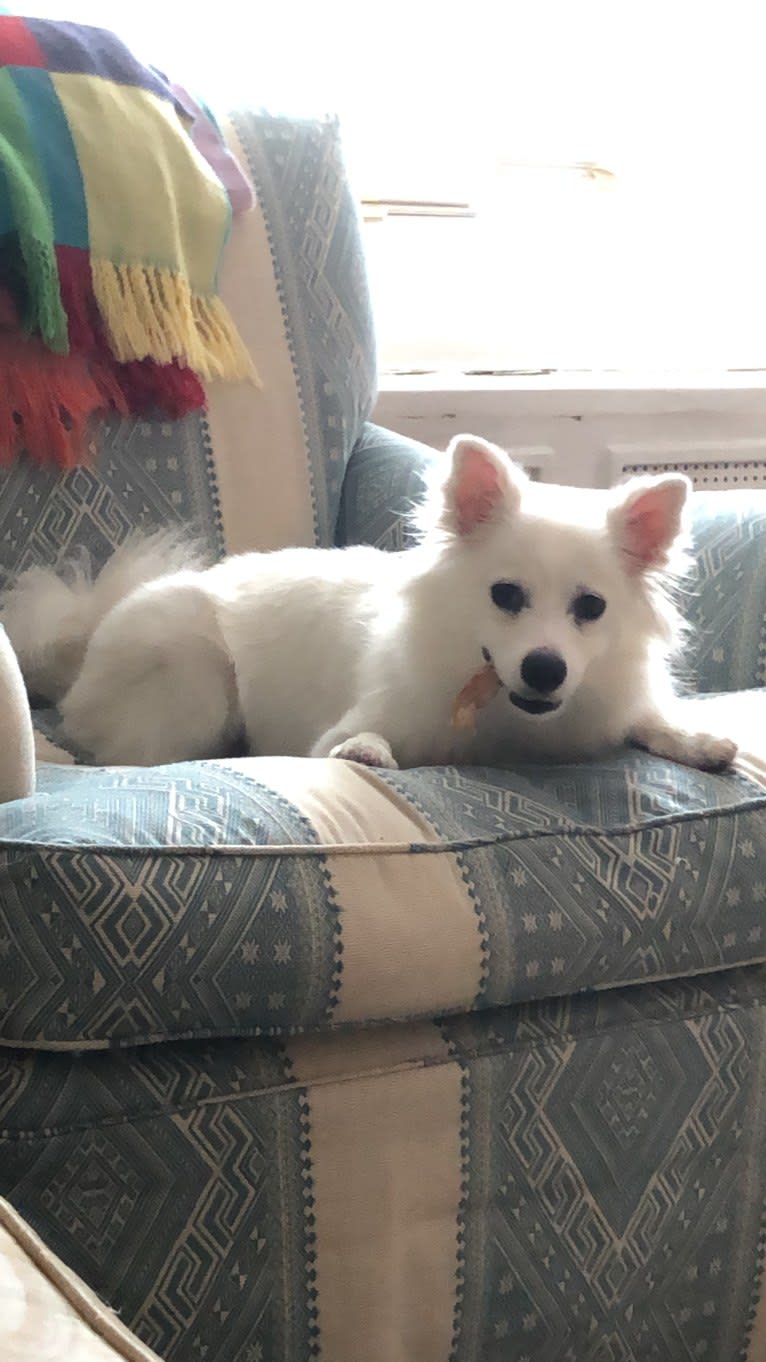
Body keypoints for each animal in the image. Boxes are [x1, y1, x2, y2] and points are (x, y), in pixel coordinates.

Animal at [2, 438, 736, 779]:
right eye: (506, 596)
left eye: (590, 607)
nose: (546, 667)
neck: (501, 714)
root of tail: (86, 642)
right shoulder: (351, 722)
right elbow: (358, 738)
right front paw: (366, 751)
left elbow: (650, 721)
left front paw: (700, 741)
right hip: (199, 680)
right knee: (118, 756)